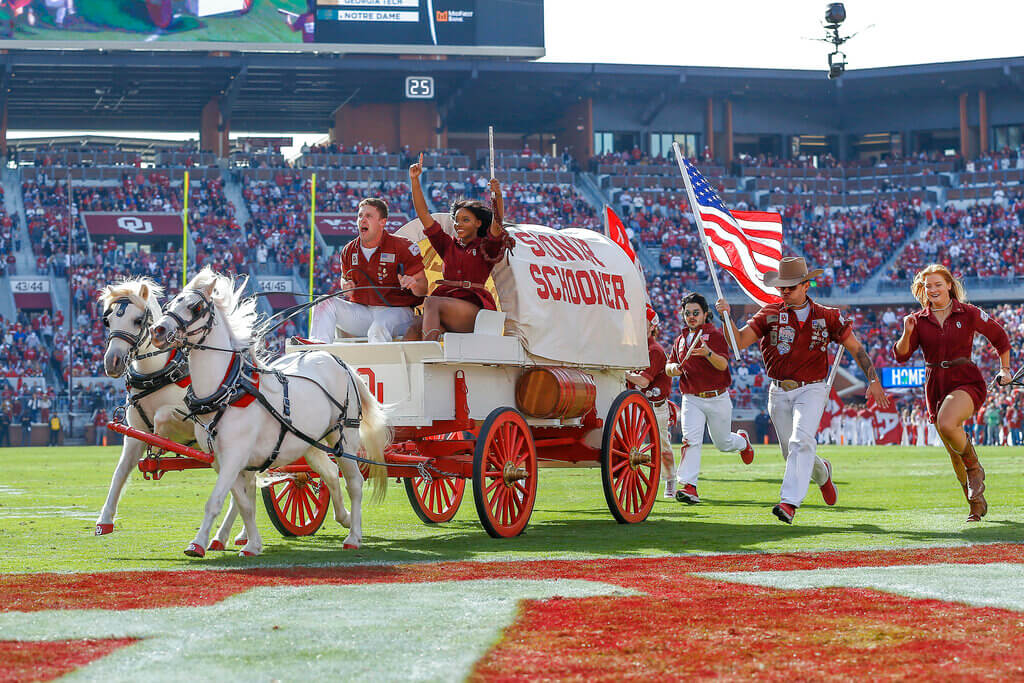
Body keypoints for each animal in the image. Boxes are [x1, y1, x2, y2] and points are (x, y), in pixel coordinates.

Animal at [95, 278, 251, 548]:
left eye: (138, 320)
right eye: (108, 320)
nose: (112, 362)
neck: (155, 375)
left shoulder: (192, 423)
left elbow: (162, 416)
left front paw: (159, 446)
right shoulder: (134, 435)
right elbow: (120, 472)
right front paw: (104, 520)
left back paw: (225, 535)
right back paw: (234, 535)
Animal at [149, 266, 389, 557]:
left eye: (195, 307)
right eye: (171, 303)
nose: (157, 330)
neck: (227, 391)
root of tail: (336, 359)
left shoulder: (234, 456)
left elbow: (216, 500)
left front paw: (197, 543)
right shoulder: (222, 460)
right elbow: (244, 504)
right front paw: (252, 544)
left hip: (344, 438)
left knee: (354, 482)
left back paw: (354, 535)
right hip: (309, 443)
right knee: (331, 473)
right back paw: (343, 517)